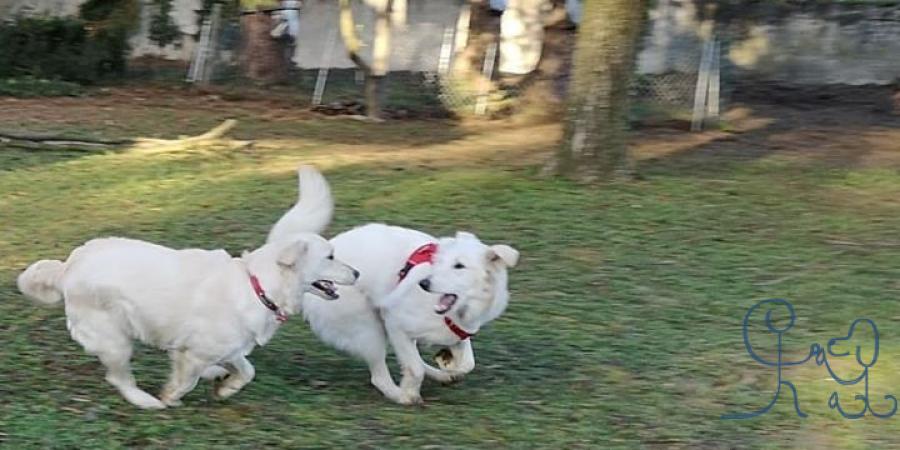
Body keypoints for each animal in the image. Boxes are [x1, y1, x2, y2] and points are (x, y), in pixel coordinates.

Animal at [17, 229, 356, 408]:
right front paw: (170, 398)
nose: (356, 273)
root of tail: (68, 266)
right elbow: (185, 381)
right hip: (114, 339)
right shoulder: (194, 352)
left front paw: (227, 387)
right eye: (330, 256)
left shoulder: (229, 345)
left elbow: (248, 370)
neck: (257, 284)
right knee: (119, 377)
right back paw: (145, 400)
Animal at [270, 168, 516, 404]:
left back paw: (440, 375)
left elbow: (466, 362)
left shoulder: (457, 332)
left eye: (459, 266)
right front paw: (410, 392)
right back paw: (400, 395)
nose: (424, 283)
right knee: (379, 375)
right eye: (438, 263)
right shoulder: (396, 322)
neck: (456, 314)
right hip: (368, 330)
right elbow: (415, 368)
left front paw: (448, 364)